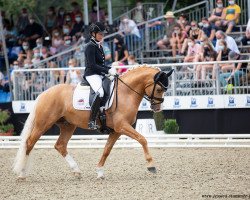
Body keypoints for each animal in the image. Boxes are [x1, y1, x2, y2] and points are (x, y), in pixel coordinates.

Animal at [13, 66, 174, 180]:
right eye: (159, 88)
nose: (157, 108)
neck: (126, 92)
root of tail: (44, 93)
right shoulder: (122, 126)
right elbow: (143, 139)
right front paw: (151, 165)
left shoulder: (116, 130)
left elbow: (107, 150)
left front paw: (100, 172)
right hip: (43, 124)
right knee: (29, 143)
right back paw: (22, 174)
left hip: (68, 125)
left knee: (60, 145)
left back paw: (76, 171)